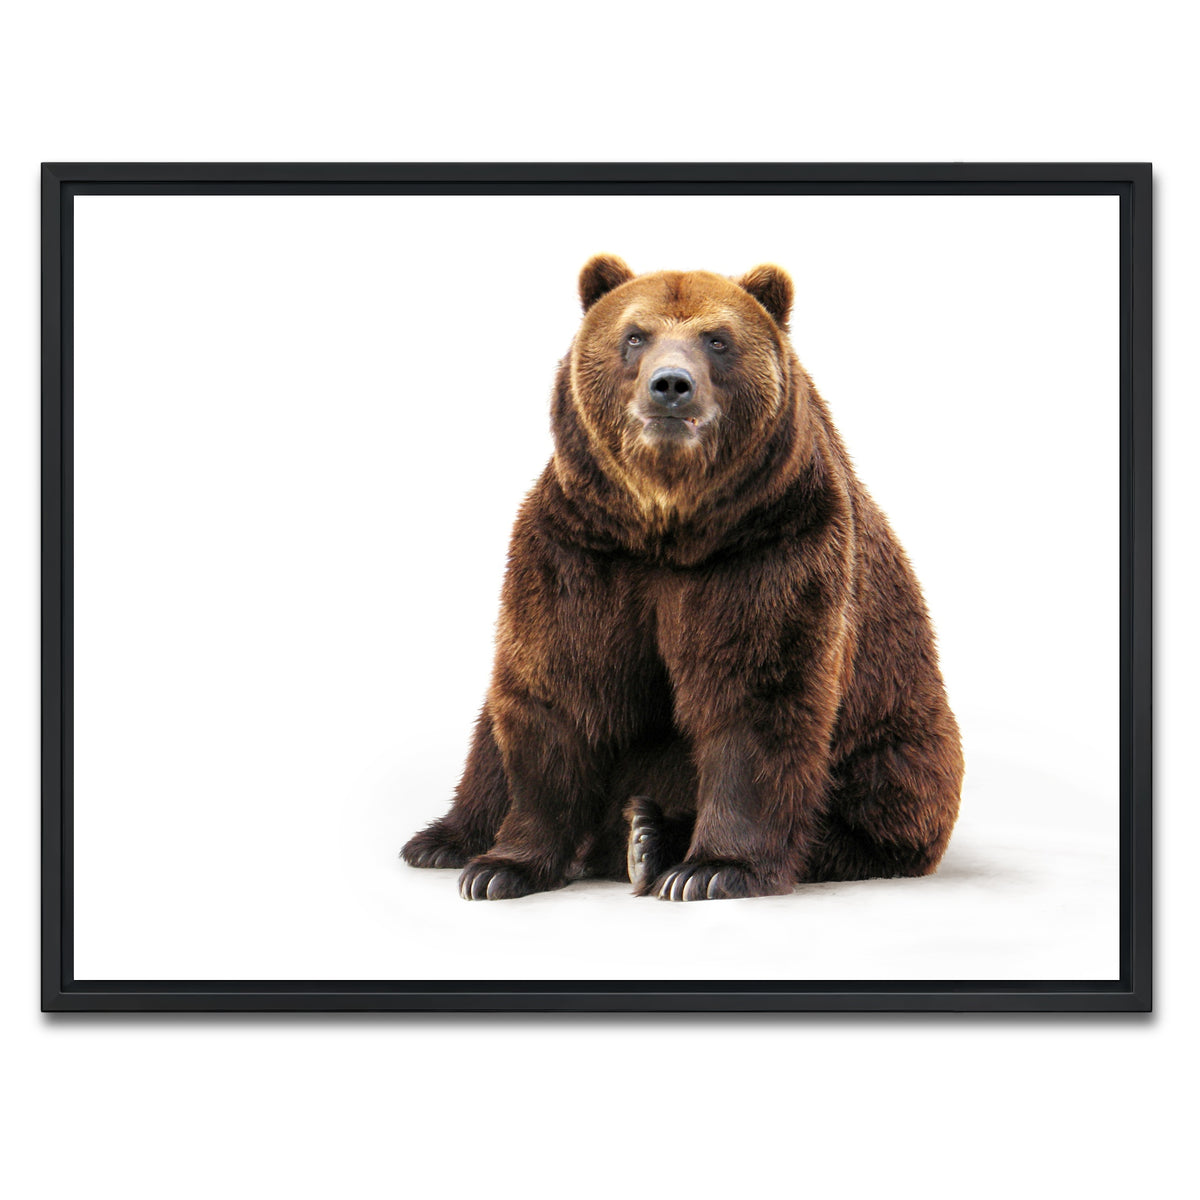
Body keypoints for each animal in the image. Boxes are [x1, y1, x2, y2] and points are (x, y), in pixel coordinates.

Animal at [401, 254, 964, 901]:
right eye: (634, 335)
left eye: (717, 339)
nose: (671, 384)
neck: (668, 526)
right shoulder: (582, 549)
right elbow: (558, 687)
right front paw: (501, 867)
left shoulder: (770, 547)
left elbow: (755, 696)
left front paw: (713, 868)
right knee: (489, 737)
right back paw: (445, 840)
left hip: (898, 736)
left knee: (874, 801)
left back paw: (650, 837)